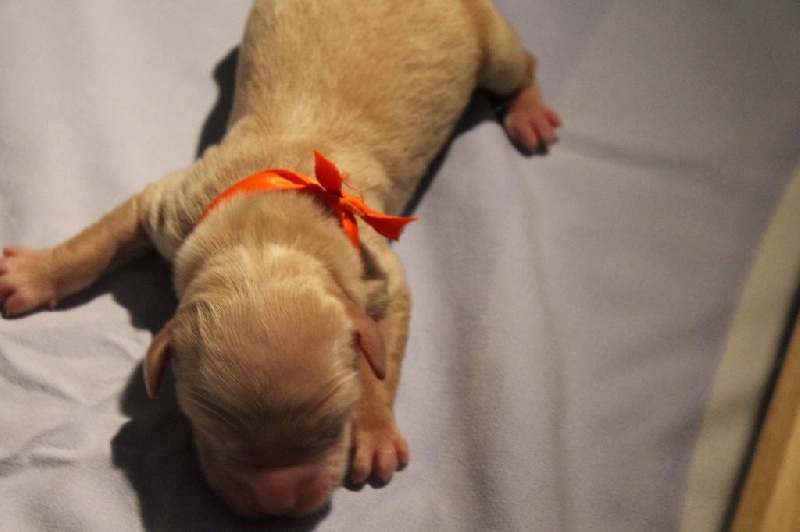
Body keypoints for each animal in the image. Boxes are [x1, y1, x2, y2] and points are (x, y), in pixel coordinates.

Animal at [0, 0, 560, 518]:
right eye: (214, 429)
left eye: (331, 425)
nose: (277, 506)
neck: (266, 231)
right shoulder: (168, 205)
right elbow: (93, 246)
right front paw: (32, 272)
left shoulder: (382, 274)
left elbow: (380, 362)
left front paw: (375, 431)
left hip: (493, 45)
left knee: (524, 64)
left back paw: (530, 114)